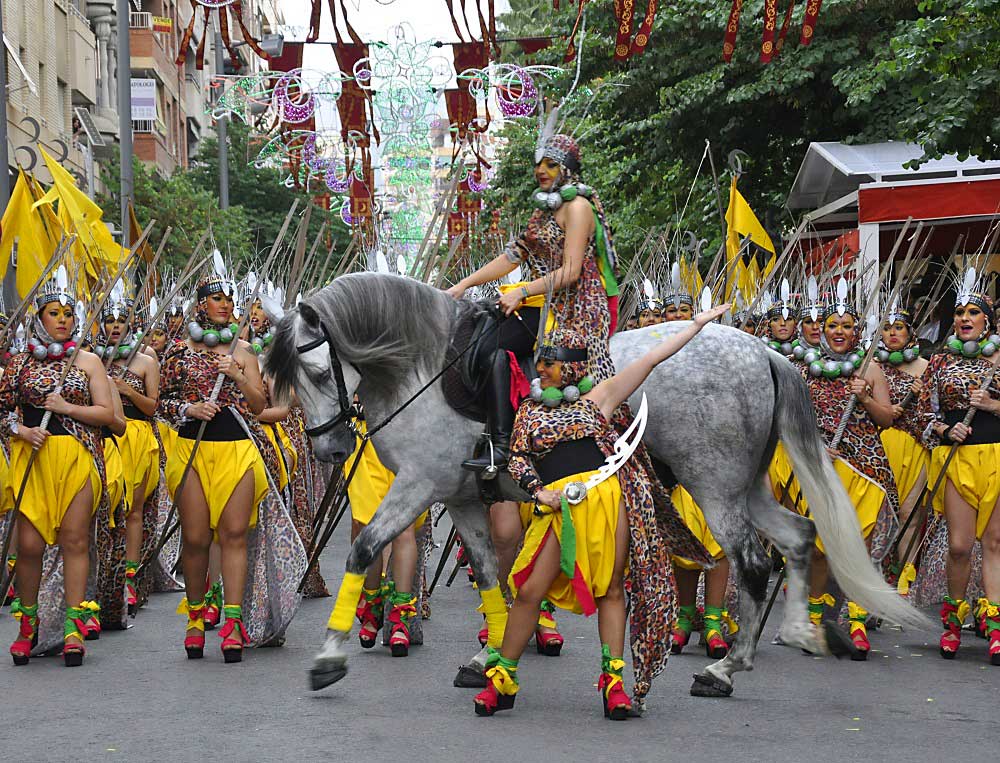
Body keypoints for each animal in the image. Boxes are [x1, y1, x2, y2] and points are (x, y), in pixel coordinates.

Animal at [262, 274, 924, 704]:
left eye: (318, 371)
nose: (328, 449)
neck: (425, 367)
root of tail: (762, 351)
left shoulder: (420, 485)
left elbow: (363, 548)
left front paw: (328, 660)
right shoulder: (463, 496)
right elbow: (489, 574)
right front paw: (488, 657)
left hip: (713, 484)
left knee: (753, 564)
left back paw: (725, 669)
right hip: (746, 485)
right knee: (800, 535)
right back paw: (795, 634)